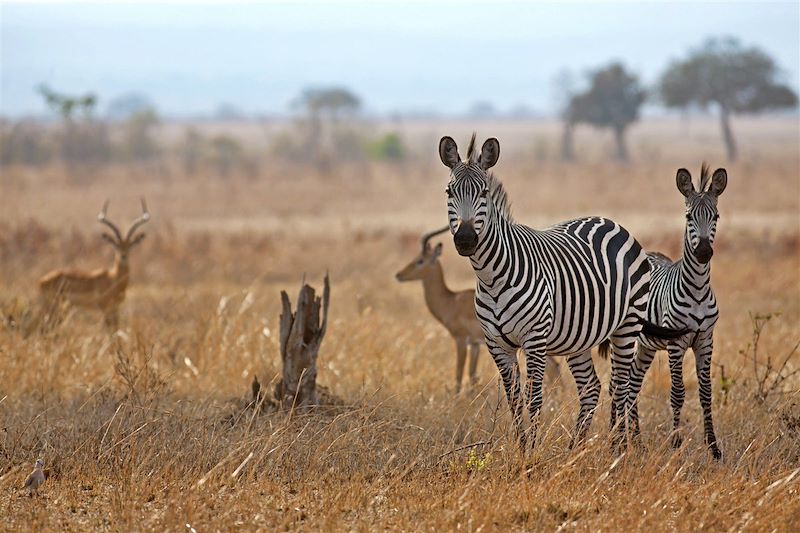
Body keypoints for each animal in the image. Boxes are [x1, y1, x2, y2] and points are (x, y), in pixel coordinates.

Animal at [39, 197, 151, 326]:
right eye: (116, 246)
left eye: (130, 245)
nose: (123, 256)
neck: (113, 279)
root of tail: (41, 281)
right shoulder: (106, 309)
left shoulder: (115, 309)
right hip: (55, 308)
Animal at [396, 227, 564, 392]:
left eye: (420, 261)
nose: (398, 274)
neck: (451, 301)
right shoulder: (475, 344)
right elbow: (472, 375)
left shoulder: (461, 340)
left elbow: (459, 374)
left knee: (552, 368)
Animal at [440, 133, 684, 444]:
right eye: (449, 192)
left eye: (483, 192)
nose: (466, 239)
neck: (492, 277)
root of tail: (611, 222)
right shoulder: (496, 344)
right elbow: (514, 400)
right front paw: (522, 447)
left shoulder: (534, 340)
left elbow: (533, 398)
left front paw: (532, 451)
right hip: (578, 337)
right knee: (592, 388)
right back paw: (576, 448)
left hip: (627, 327)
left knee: (622, 386)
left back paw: (618, 448)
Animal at [628, 164, 728, 460]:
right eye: (688, 216)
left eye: (716, 216)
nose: (704, 252)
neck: (697, 289)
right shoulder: (676, 343)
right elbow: (678, 392)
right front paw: (675, 443)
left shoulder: (705, 340)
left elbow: (706, 392)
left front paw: (713, 447)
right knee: (621, 383)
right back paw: (627, 437)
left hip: (646, 346)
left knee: (633, 382)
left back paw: (637, 441)